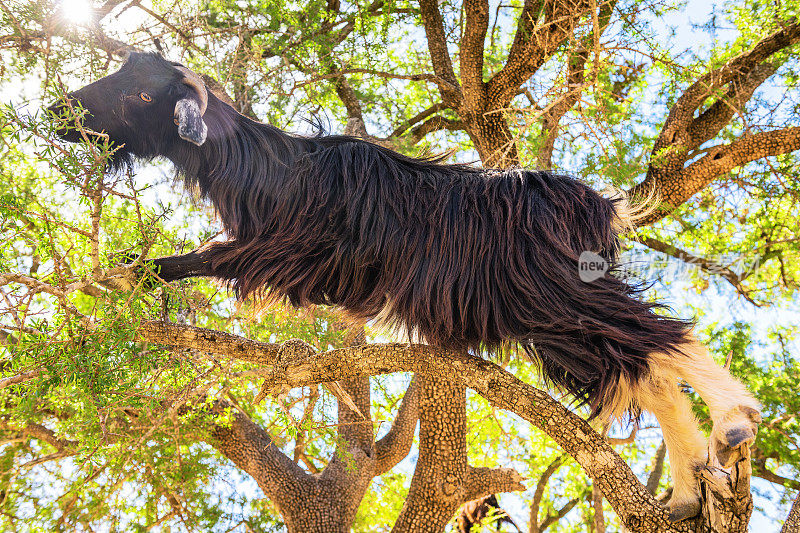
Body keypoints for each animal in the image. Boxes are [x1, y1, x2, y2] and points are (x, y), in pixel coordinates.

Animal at [51, 51, 764, 520]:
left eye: (143, 97)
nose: (63, 112)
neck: (273, 172)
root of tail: (597, 205)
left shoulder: (280, 248)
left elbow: (195, 258)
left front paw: (119, 273)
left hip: (555, 294)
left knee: (663, 339)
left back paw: (734, 422)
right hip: (555, 323)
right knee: (640, 369)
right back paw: (685, 492)